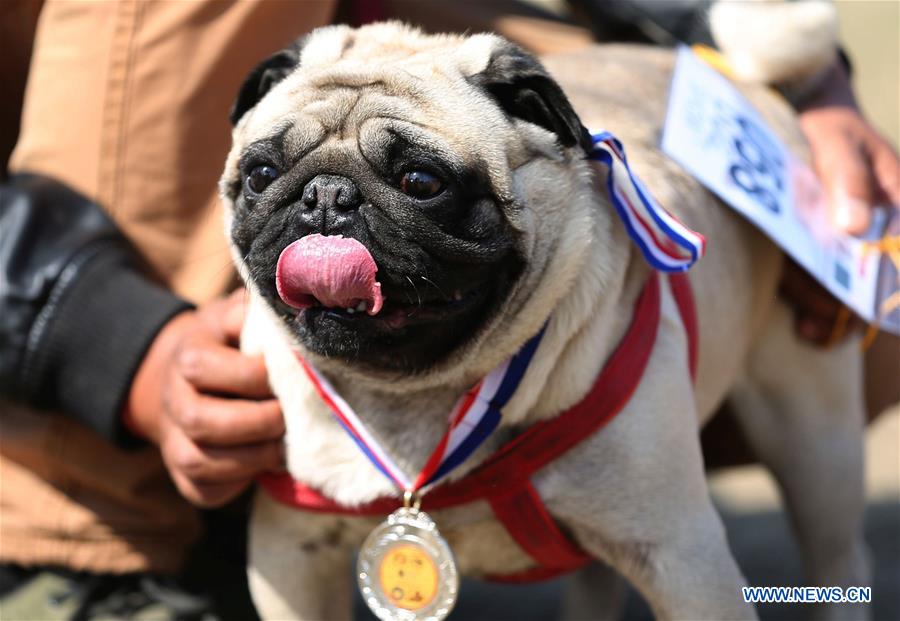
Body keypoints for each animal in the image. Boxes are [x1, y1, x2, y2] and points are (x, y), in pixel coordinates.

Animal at [221, 9, 868, 620]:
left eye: (422, 181)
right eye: (260, 175)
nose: (327, 196)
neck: (409, 398)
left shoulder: (683, 558)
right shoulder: (293, 555)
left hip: (814, 435)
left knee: (837, 554)